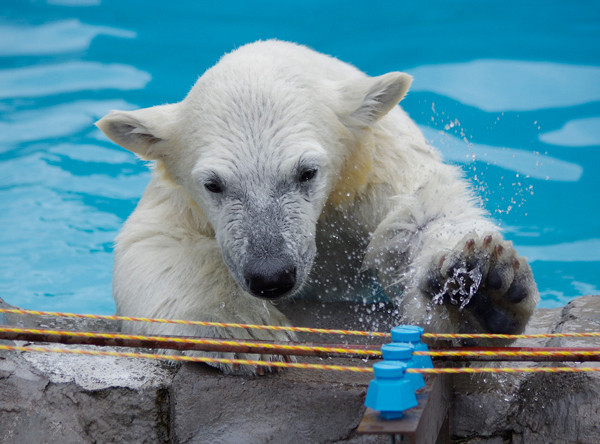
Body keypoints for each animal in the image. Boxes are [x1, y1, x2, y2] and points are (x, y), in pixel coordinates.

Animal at [96, 40, 536, 372]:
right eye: (214, 184)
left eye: (307, 172)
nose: (271, 275)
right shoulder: (180, 202)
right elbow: (156, 244)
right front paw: (244, 328)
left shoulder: (375, 169)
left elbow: (418, 219)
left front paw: (481, 288)